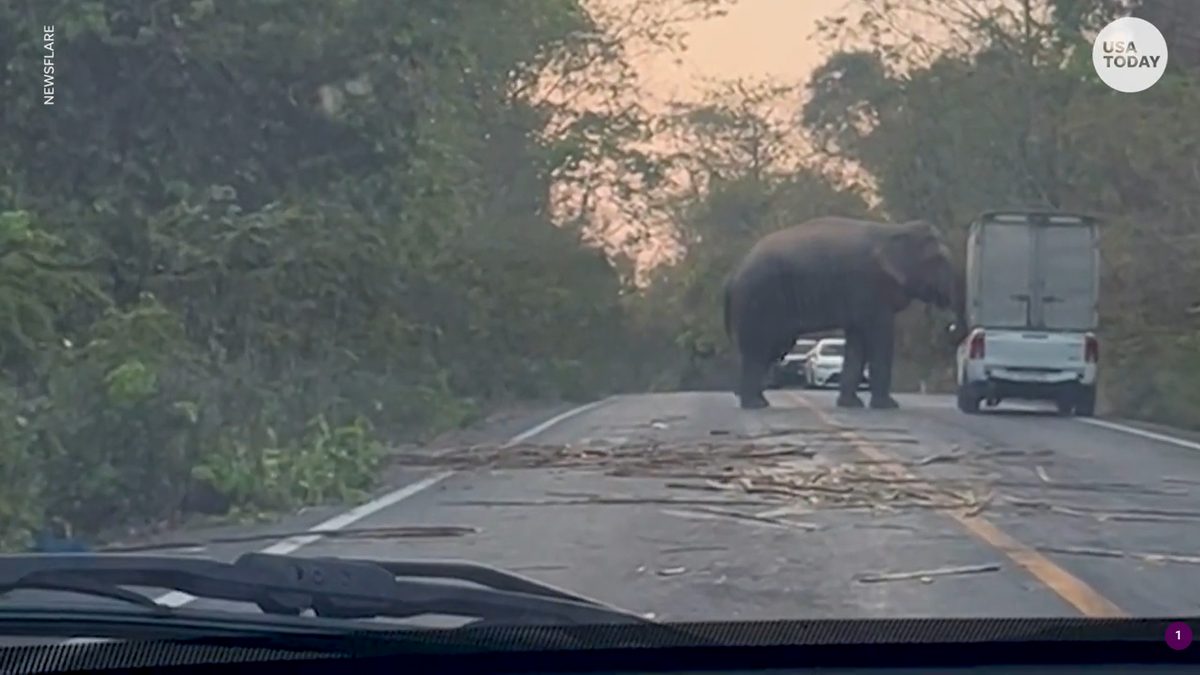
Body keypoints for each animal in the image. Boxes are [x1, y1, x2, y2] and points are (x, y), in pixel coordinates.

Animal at [720, 214, 964, 408]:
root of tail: (732, 275)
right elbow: (880, 336)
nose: (950, 325)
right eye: (938, 260)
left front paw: (850, 405)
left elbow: (857, 341)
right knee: (760, 349)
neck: (893, 230)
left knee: (768, 349)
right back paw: (755, 405)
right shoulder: (869, 288)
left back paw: (755, 400)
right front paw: (888, 406)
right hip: (759, 299)